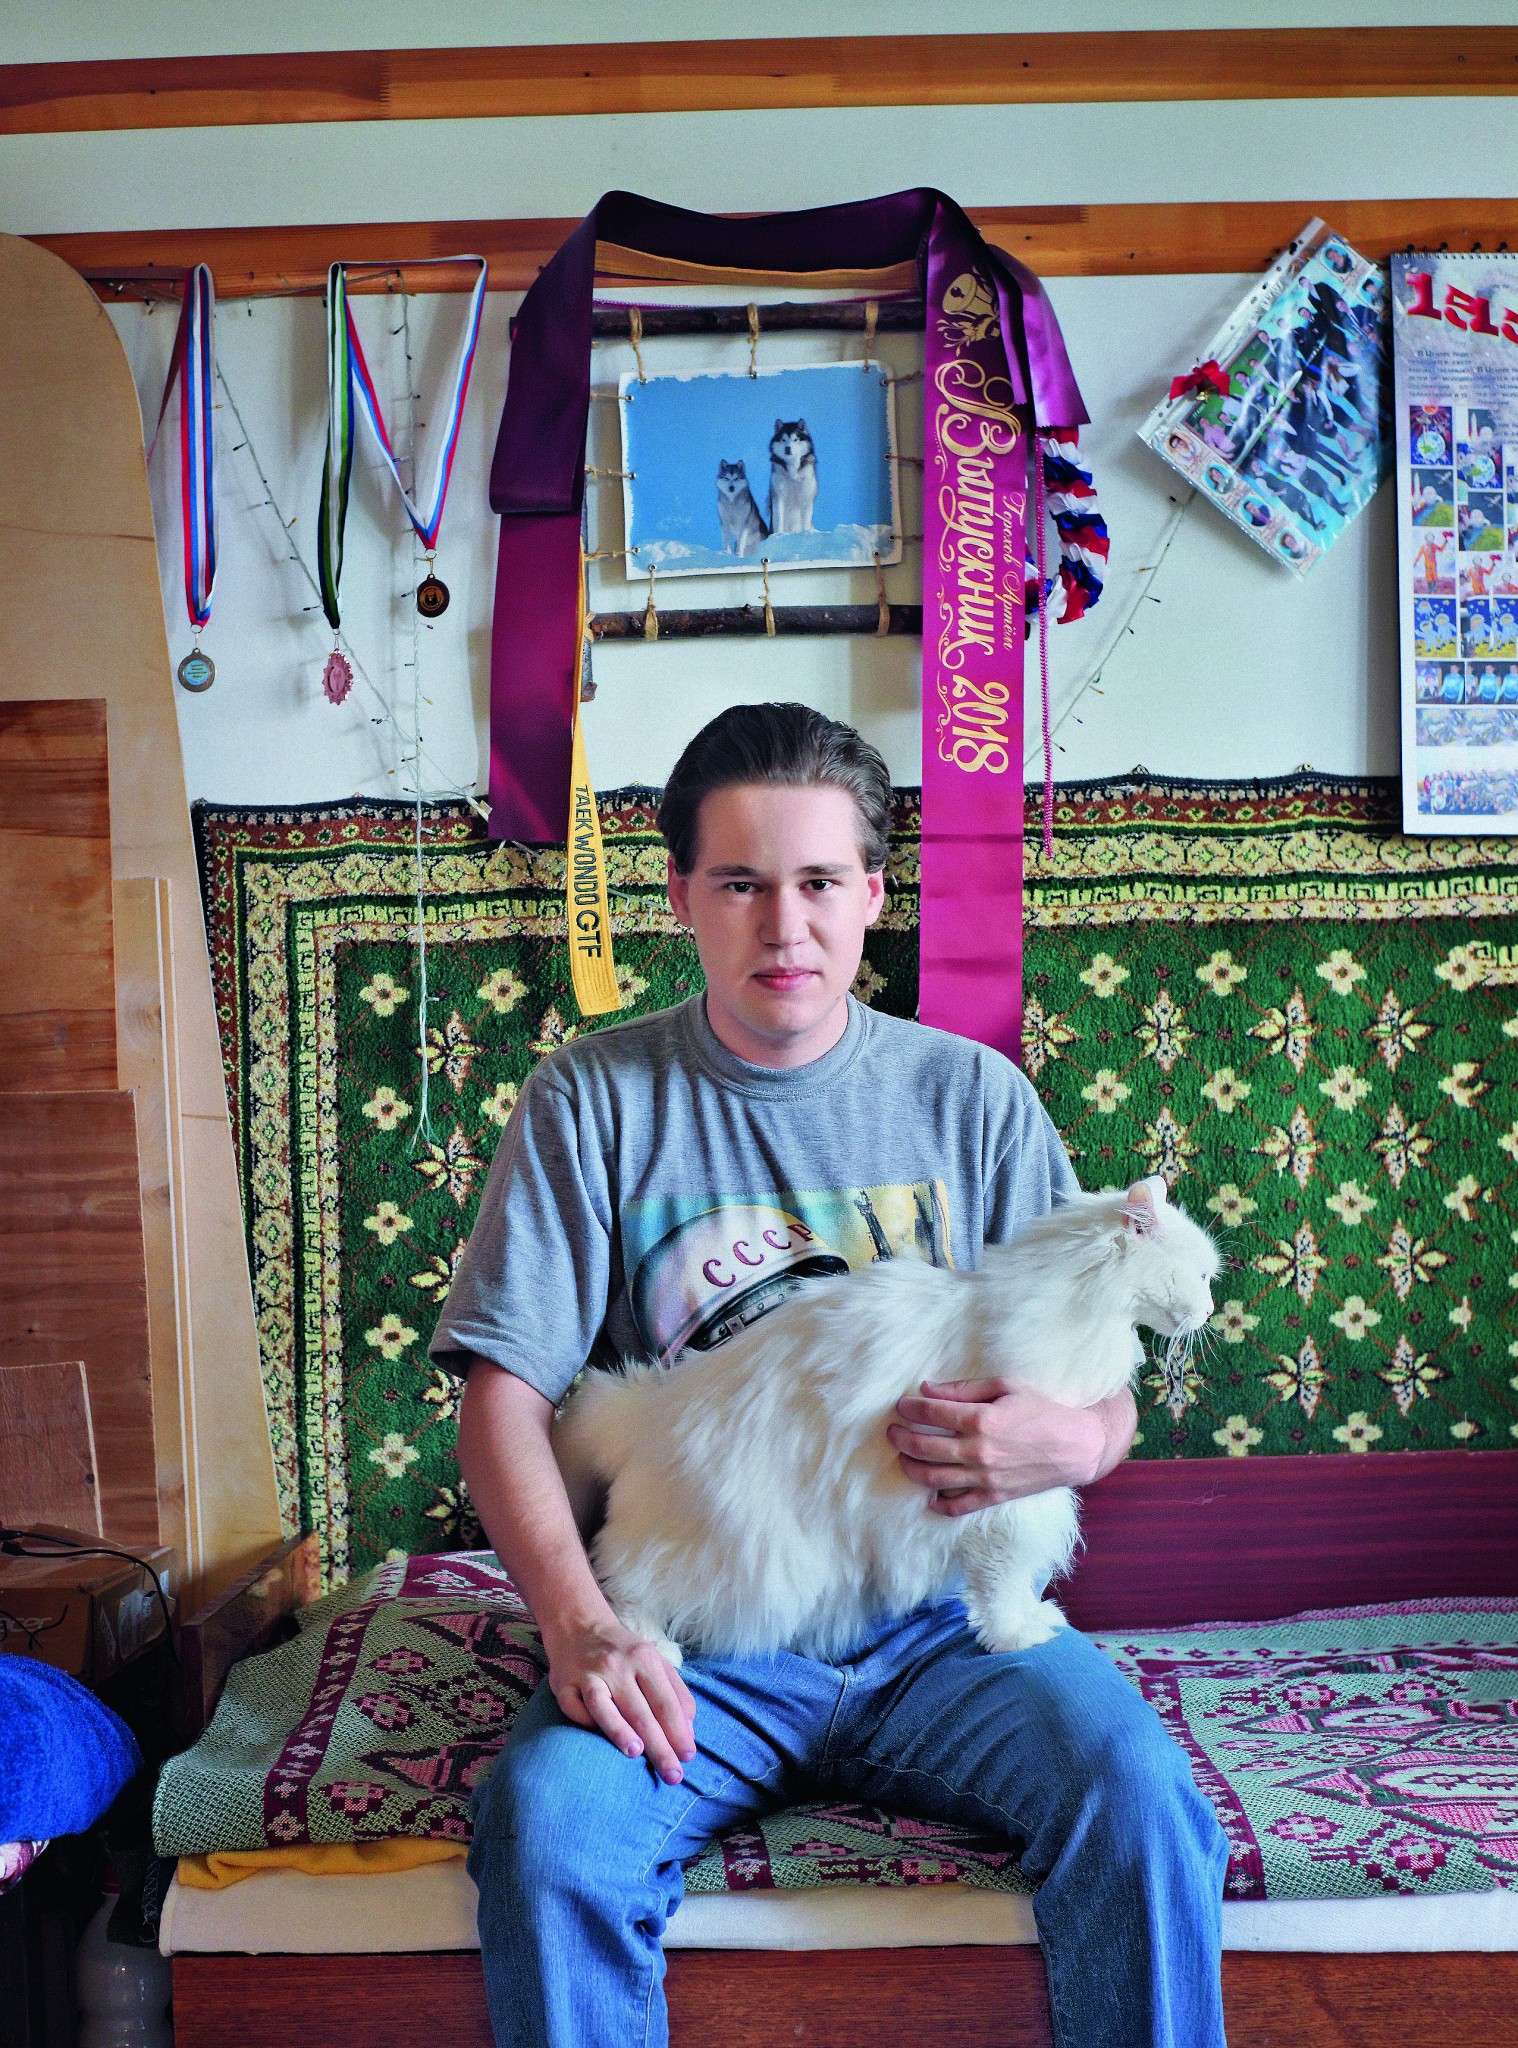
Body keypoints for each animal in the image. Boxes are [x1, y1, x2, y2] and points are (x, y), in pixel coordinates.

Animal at [554, 1177, 1219, 1665]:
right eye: (1202, 1276)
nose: (1212, 1310)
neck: (1059, 1304)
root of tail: (643, 1410)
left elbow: (1012, 1584)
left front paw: (1032, 1621)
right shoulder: (1009, 1509)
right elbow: (1003, 1586)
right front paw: (1015, 1637)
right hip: (721, 1553)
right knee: (619, 1580)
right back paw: (652, 1649)